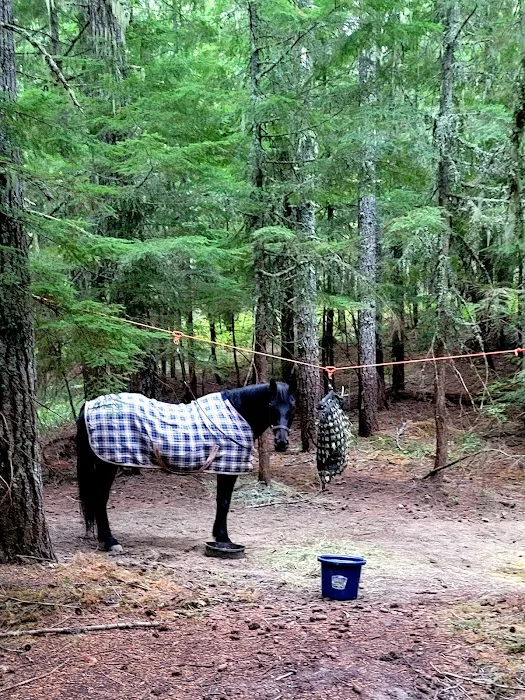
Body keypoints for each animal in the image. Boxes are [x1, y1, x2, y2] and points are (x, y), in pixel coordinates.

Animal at [76, 379, 296, 553]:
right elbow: (224, 502)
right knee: (100, 499)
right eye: (271, 405)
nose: (281, 443)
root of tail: (90, 404)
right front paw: (223, 538)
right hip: (107, 464)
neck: (237, 413)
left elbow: (221, 502)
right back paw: (110, 541)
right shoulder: (228, 468)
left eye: (292, 408)